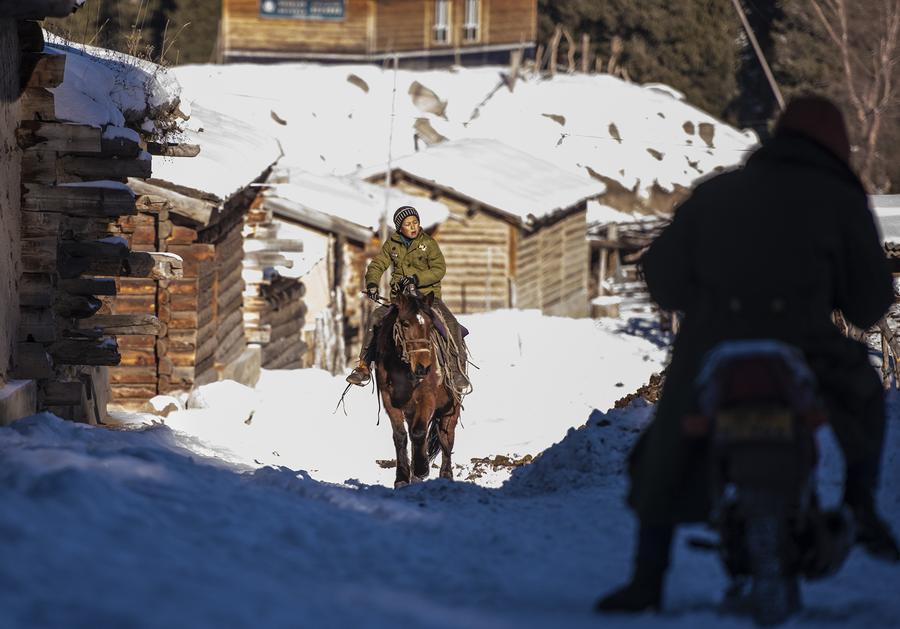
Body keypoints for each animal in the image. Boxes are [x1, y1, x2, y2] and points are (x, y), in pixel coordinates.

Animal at [372, 288, 460, 486]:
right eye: (405, 323)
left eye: (431, 324)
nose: (423, 367)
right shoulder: (389, 400)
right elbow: (401, 436)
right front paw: (402, 478)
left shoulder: (427, 397)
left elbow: (419, 433)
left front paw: (421, 469)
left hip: (451, 409)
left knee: (446, 437)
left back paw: (445, 475)